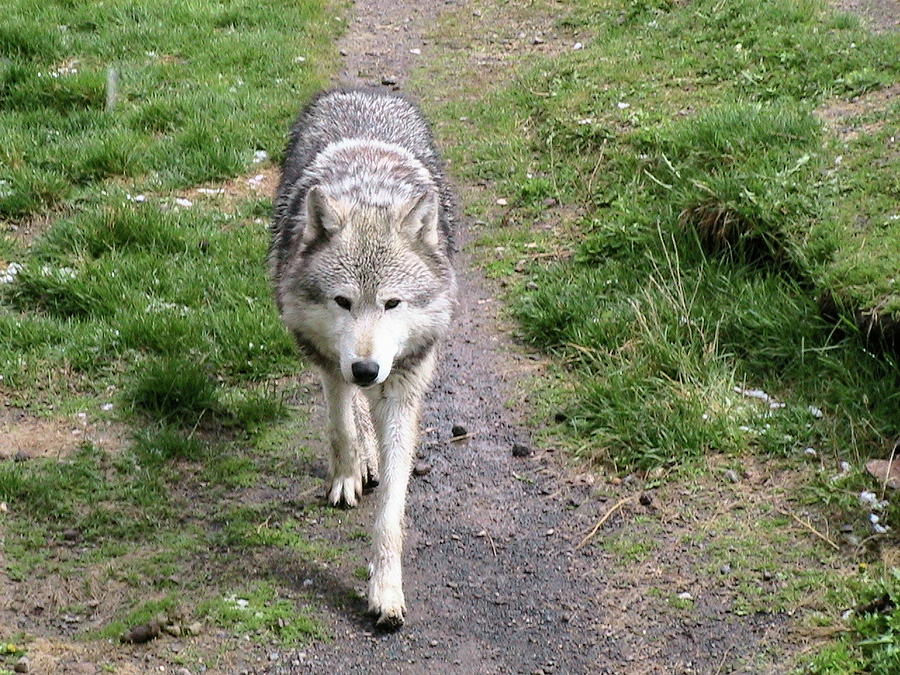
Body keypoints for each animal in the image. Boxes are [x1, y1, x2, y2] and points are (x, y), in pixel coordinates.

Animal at [268, 88, 458, 628]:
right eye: (343, 302)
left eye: (392, 303)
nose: (367, 369)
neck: (370, 193)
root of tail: (365, 90)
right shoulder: (329, 358)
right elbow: (341, 426)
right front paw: (349, 473)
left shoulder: (402, 386)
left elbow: (392, 506)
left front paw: (385, 590)